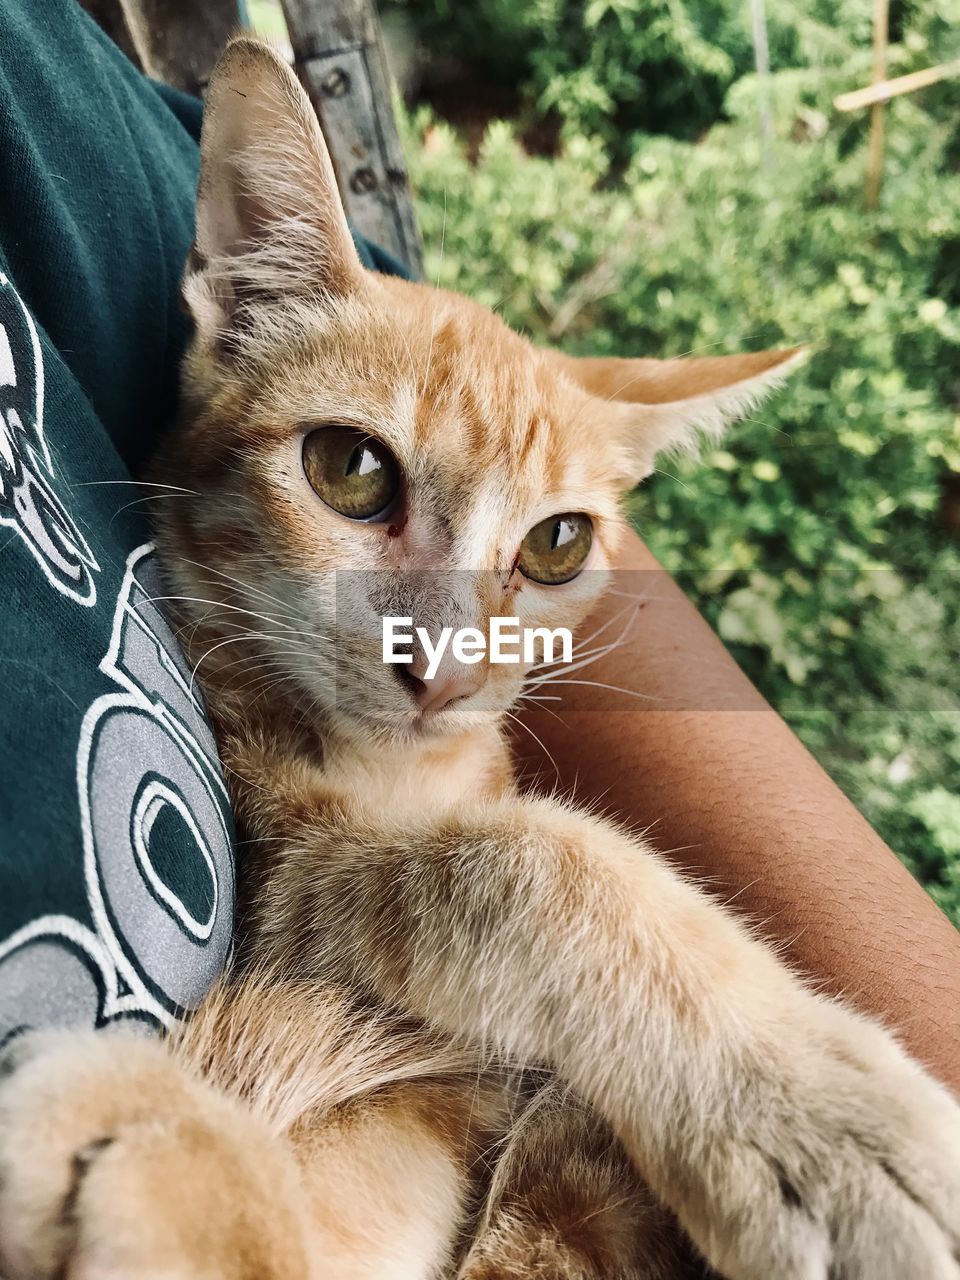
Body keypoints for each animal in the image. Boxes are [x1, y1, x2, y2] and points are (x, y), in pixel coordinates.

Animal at [1, 37, 960, 1280]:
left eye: (558, 544)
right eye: (350, 469)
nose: (450, 671)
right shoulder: (288, 886)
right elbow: (516, 860)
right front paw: (815, 1109)